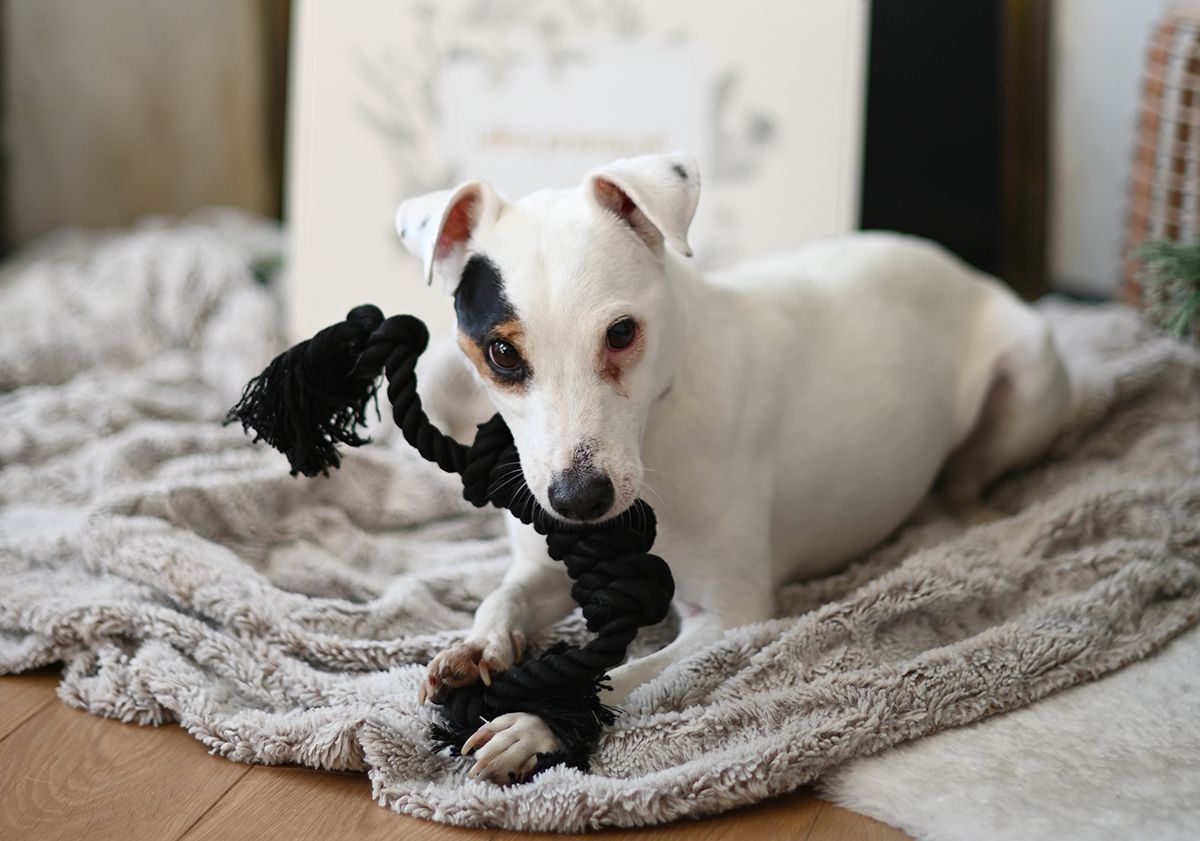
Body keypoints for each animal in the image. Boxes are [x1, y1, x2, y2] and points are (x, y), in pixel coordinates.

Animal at [391, 149, 1070, 782]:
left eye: (621, 333)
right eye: (501, 353)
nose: (580, 500)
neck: (660, 421)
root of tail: (956, 264)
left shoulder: (729, 617)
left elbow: (630, 674)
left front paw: (536, 723)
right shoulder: (543, 566)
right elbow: (502, 595)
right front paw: (476, 647)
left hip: (1029, 381)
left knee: (968, 475)